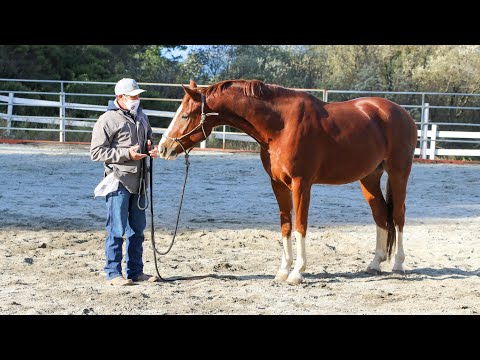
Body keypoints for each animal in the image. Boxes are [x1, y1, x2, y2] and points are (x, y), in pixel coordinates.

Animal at [159, 79, 418, 284]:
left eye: (185, 115)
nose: (162, 148)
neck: (281, 125)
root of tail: (401, 113)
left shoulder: (301, 184)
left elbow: (300, 225)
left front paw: (297, 272)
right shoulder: (278, 184)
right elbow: (285, 226)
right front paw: (283, 270)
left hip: (399, 172)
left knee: (398, 216)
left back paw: (398, 264)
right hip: (369, 177)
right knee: (380, 214)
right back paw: (374, 263)